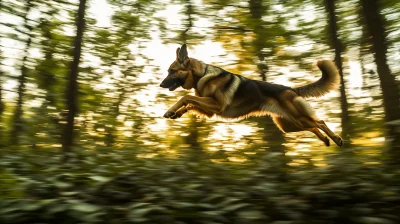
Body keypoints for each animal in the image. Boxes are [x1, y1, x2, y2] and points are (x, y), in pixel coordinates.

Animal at [159, 43, 344, 147]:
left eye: (172, 71)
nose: (160, 85)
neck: (202, 75)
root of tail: (290, 89)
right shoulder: (210, 110)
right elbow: (190, 103)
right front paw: (176, 113)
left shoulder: (216, 105)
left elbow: (186, 98)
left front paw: (170, 110)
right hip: (290, 125)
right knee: (313, 126)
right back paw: (325, 140)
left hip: (298, 119)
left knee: (320, 122)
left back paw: (336, 138)